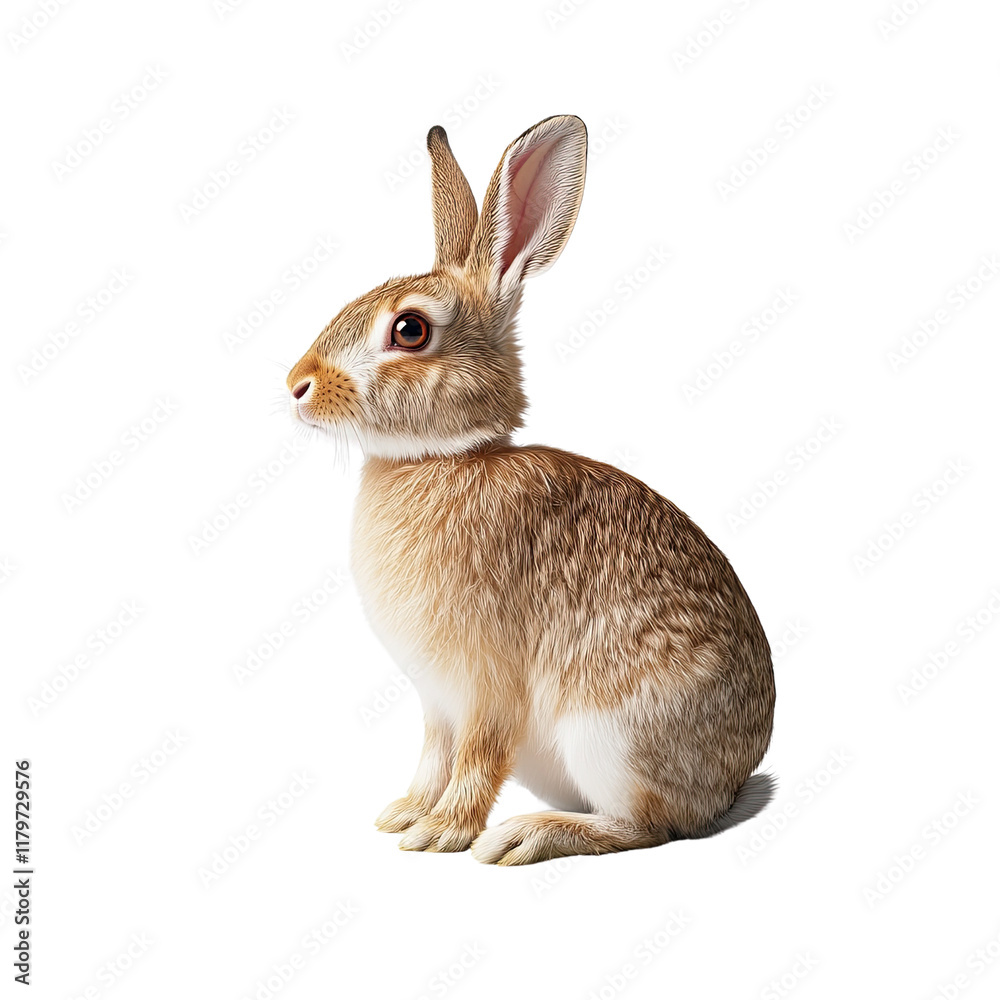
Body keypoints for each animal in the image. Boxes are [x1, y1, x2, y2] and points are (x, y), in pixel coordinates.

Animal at [286, 115, 775, 865]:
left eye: (409, 329)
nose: (296, 384)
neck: (444, 460)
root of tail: (729, 783)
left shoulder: (489, 682)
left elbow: (479, 757)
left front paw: (444, 833)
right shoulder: (437, 701)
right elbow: (435, 754)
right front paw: (403, 815)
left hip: (611, 739)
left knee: (647, 827)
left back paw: (527, 836)